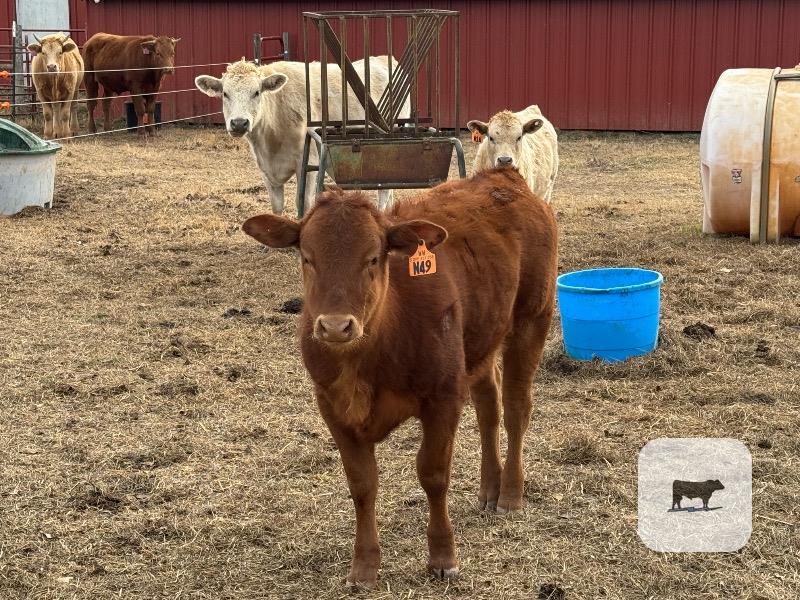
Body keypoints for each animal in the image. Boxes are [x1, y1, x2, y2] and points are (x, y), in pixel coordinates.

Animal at [195, 57, 410, 214]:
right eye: (225, 93)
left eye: (256, 92)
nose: (239, 123)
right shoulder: (265, 168)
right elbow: (277, 206)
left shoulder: (308, 163)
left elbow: (303, 203)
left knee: (384, 189)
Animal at [241, 167, 557, 588]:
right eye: (307, 257)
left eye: (374, 258)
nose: (336, 326)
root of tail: (503, 176)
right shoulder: (332, 407)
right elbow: (362, 484)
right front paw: (364, 567)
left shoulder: (443, 398)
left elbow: (433, 474)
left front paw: (442, 556)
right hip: (480, 340)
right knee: (488, 407)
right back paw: (489, 488)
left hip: (532, 318)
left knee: (516, 408)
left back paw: (510, 494)